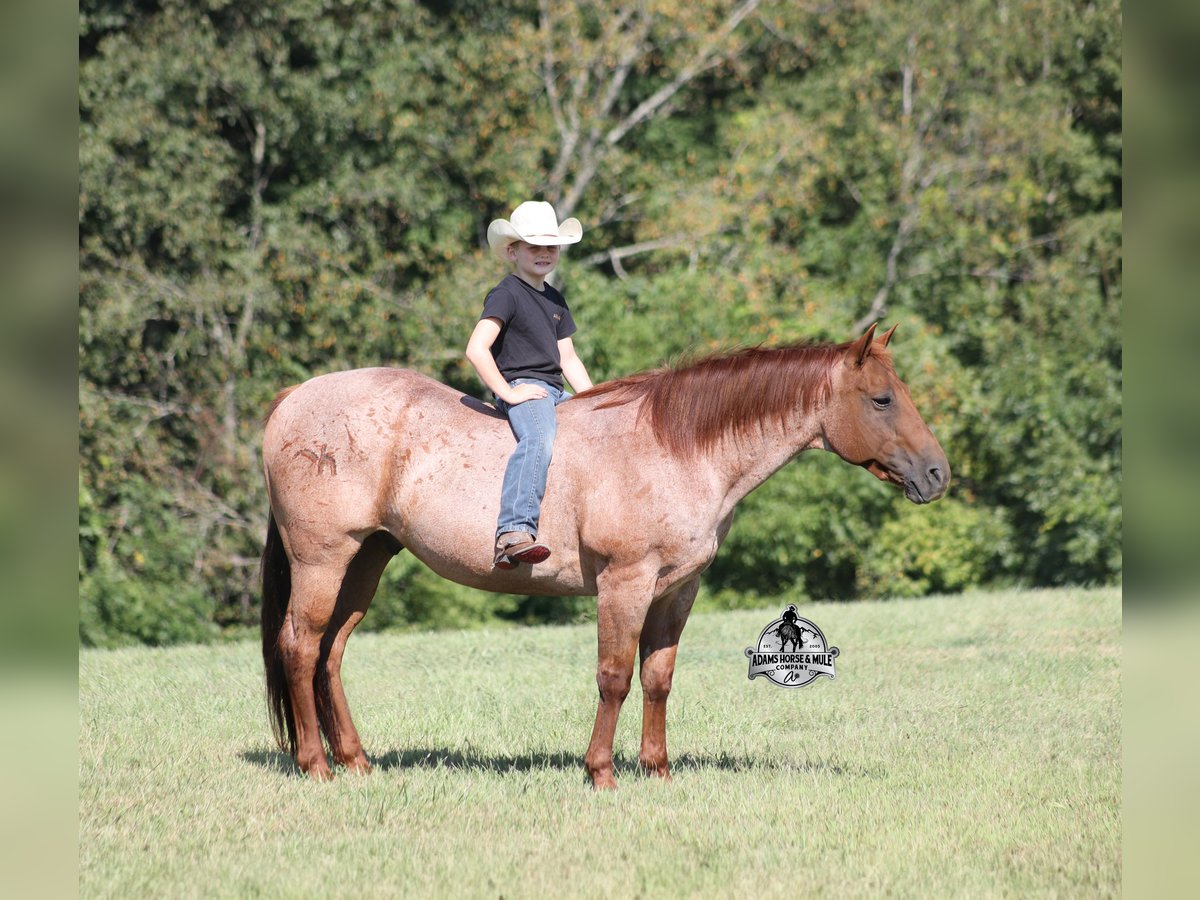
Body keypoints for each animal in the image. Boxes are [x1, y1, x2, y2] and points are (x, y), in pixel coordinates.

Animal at [259, 323, 949, 788]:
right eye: (883, 399)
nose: (938, 474)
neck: (672, 447)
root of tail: (294, 398)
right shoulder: (626, 583)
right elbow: (614, 676)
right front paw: (601, 772)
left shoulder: (677, 590)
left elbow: (658, 677)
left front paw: (657, 770)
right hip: (324, 560)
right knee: (300, 644)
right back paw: (316, 765)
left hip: (367, 559)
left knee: (331, 652)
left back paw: (356, 761)